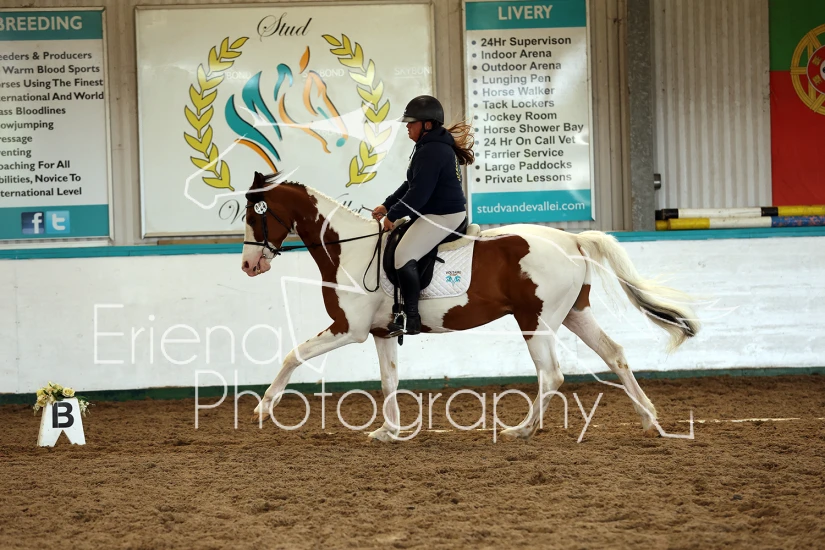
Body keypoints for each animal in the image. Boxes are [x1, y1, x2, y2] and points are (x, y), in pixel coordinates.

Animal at [239, 171, 700, 442]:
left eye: (253, 215)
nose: (248, 265)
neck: (350, 250)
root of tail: (571, 239)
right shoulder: (381, 332)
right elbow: (388, 381)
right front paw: (389, 431)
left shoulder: (347, 329)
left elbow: (293, 354)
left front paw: (264, 409)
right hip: (574, 314)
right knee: (615, 355)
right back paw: (649, 419)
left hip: (536, 321)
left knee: (552, 375)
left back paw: (522, 430)